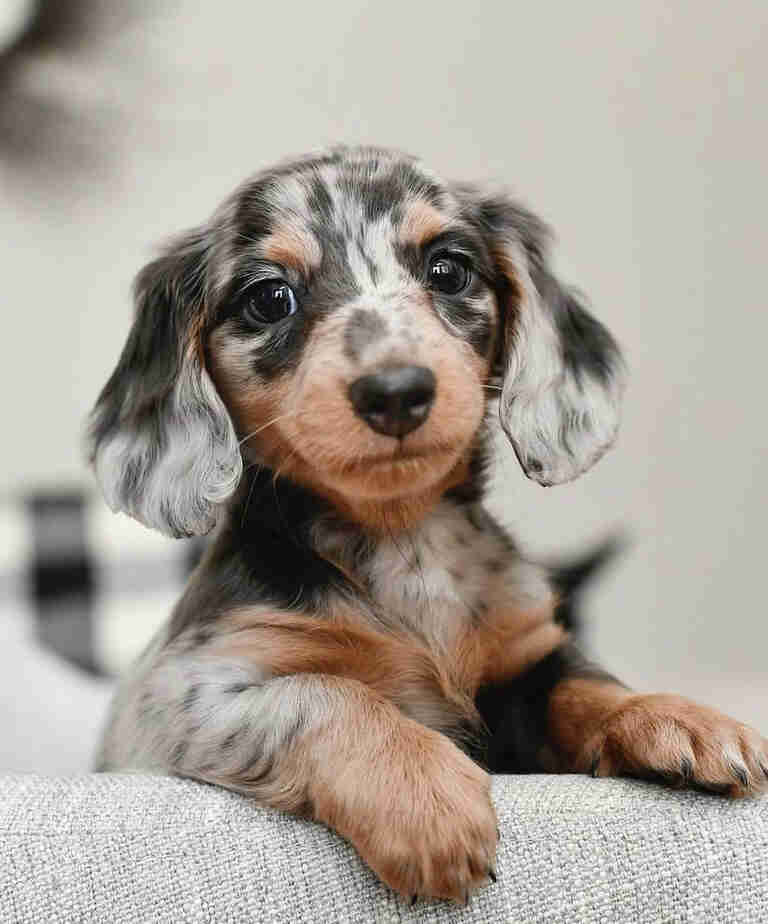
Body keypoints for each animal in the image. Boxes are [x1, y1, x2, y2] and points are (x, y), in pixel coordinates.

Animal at [85, 146, 768, 904]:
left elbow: (584, 684)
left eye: (448, 269)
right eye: (269, 298)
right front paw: (424, 799)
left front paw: (678, 716)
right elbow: (325, 693)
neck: (405, 540)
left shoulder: (524, 659)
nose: (396, 392)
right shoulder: (177, 697)